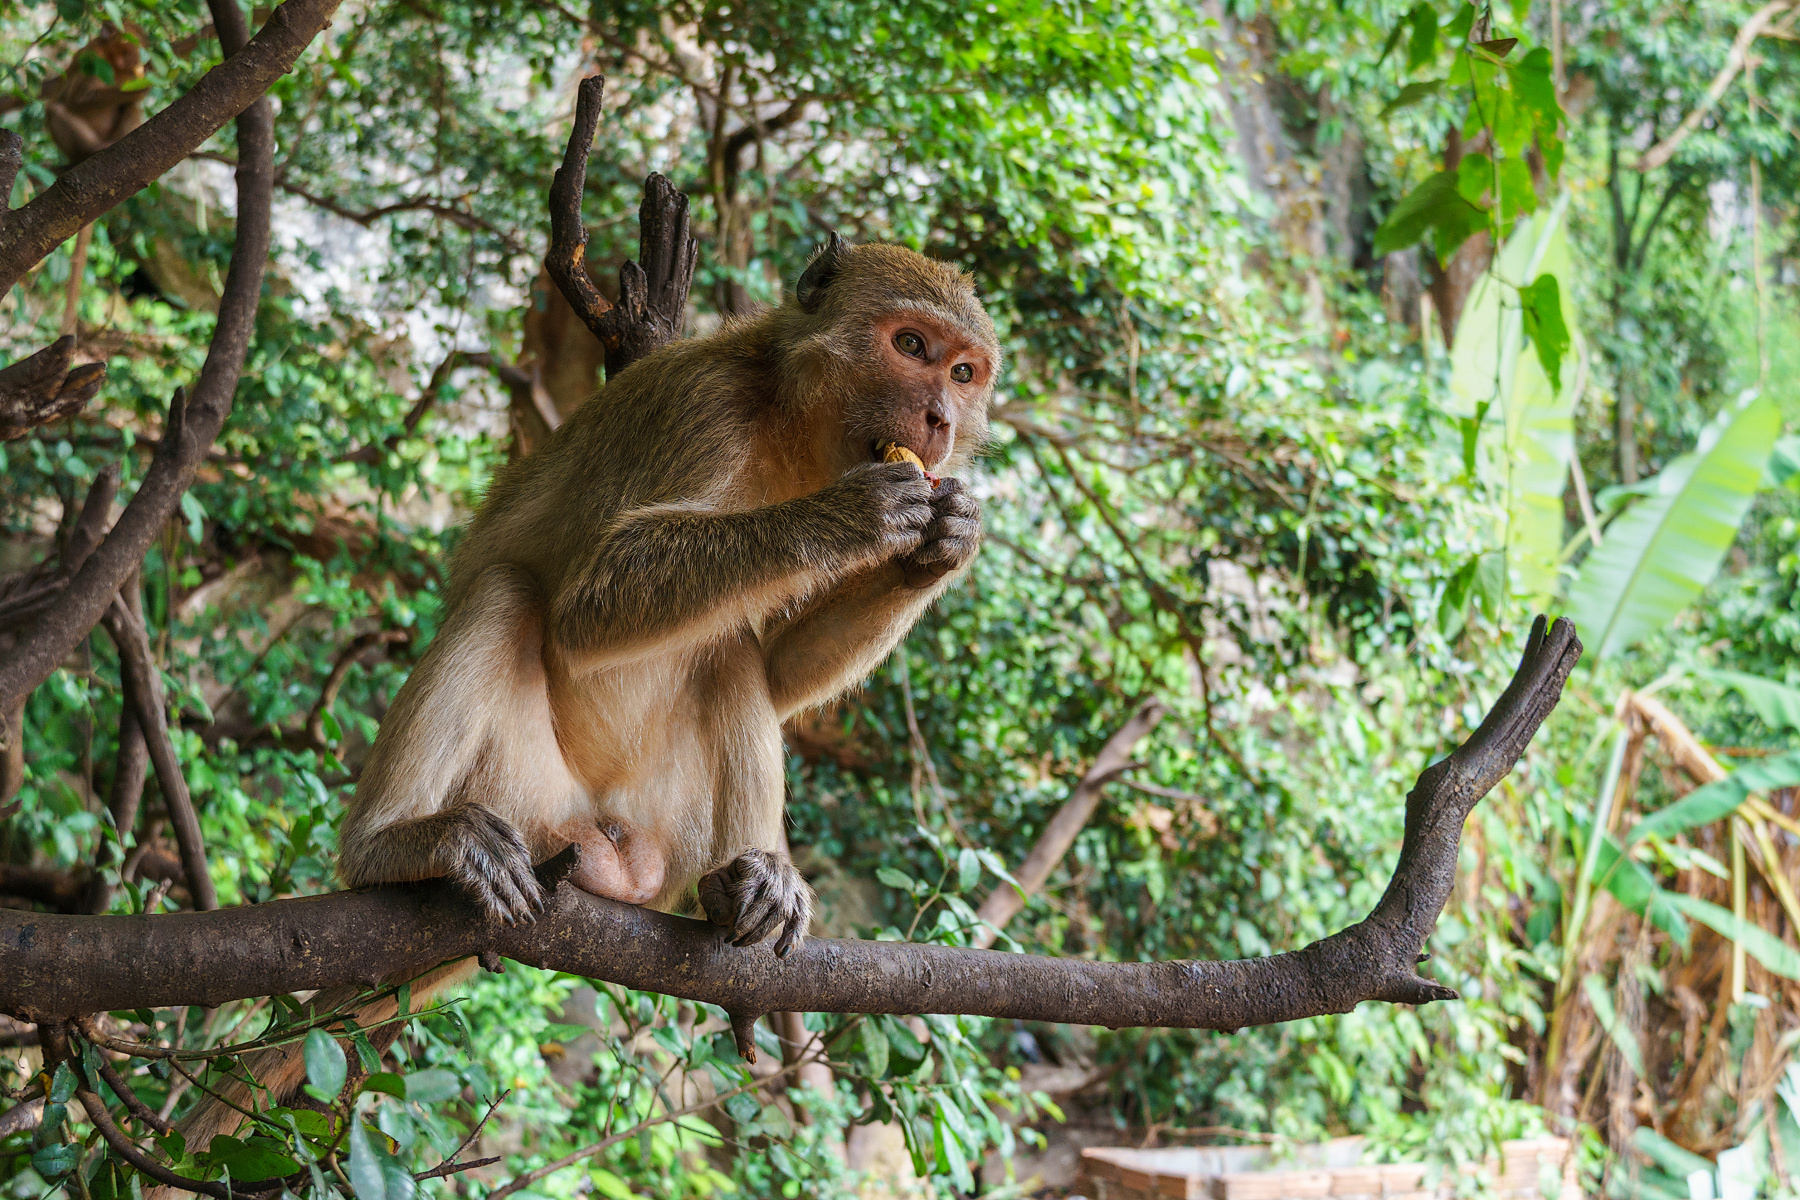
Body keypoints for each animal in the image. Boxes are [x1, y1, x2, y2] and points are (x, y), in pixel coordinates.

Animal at [157, 235, 1000, 1163]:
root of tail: (607, 850)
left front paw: (946, 543)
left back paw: (746, 886)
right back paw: (391, 845)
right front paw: (854, 515)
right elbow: (587, 605)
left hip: (662, 825)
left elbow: (779, 675)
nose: (942, 421)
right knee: (510, 597)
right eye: (911, 347)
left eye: (965, 372)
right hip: (521, 795)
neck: (790, 421)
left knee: (729, 656)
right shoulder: (700, 408)